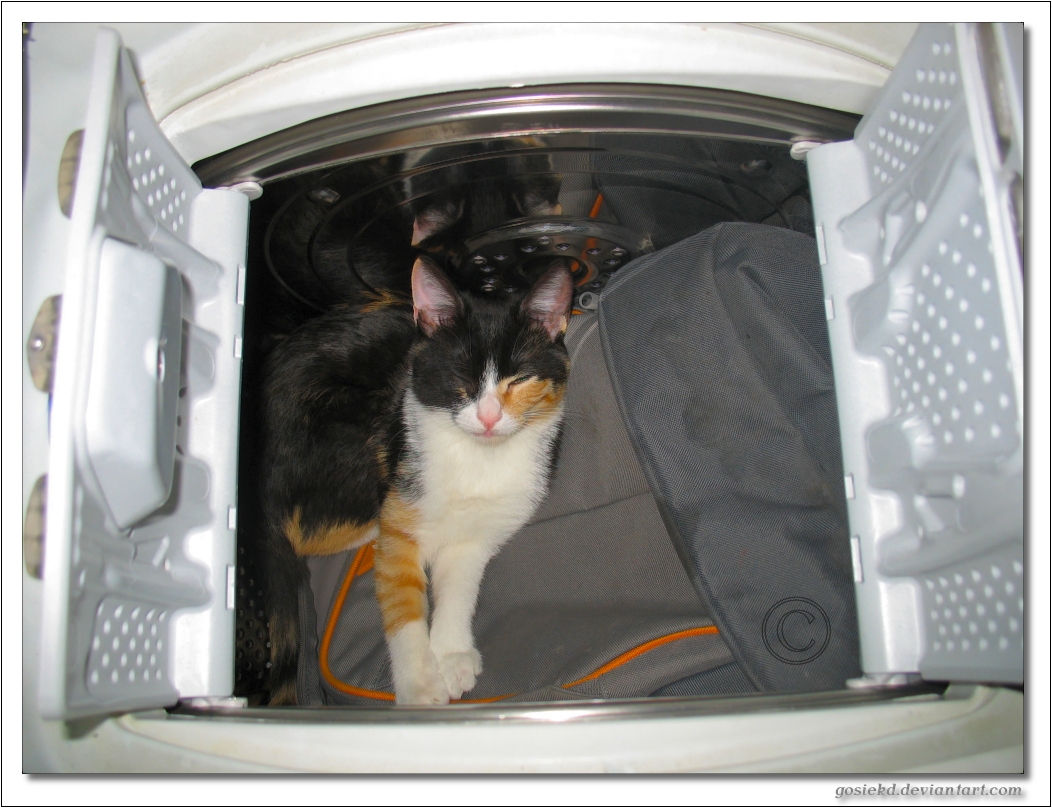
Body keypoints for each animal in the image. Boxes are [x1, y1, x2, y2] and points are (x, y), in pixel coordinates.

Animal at [257, 255, 572, 702]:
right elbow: (401, 591)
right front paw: (420, 684)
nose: (489, 418)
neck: (478, 456)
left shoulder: (484, 528)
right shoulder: (404, 500)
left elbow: (461, 581)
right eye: (461, 379)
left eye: (520, 379)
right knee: (306, 535)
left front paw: (452, 655)